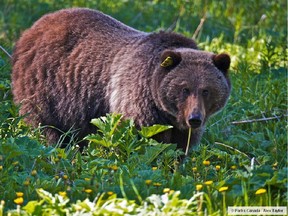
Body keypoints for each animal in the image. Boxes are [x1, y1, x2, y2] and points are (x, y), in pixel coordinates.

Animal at [11, 8, 232, 150]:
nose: (194, 118)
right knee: (47, 125)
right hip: (47, 88)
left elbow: (179, 148)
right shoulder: (138, 103)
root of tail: (32, 29)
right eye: (184, 89)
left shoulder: (181, 126)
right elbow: (139, 140)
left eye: (206, 90)